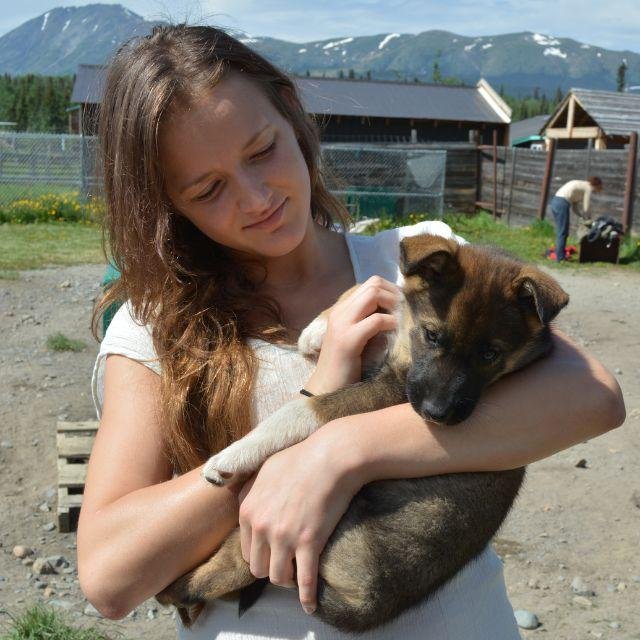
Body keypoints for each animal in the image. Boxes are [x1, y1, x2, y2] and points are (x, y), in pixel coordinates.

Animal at [158, 234, 568, 632]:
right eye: (432, 335)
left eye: (490, 355)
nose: (438, 415)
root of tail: (369, 606)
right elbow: (377, 285)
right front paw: (317, 330)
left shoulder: (390, 393)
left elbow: (304, 409)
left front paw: (232, 455)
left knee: (213, 578)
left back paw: (172, 589)